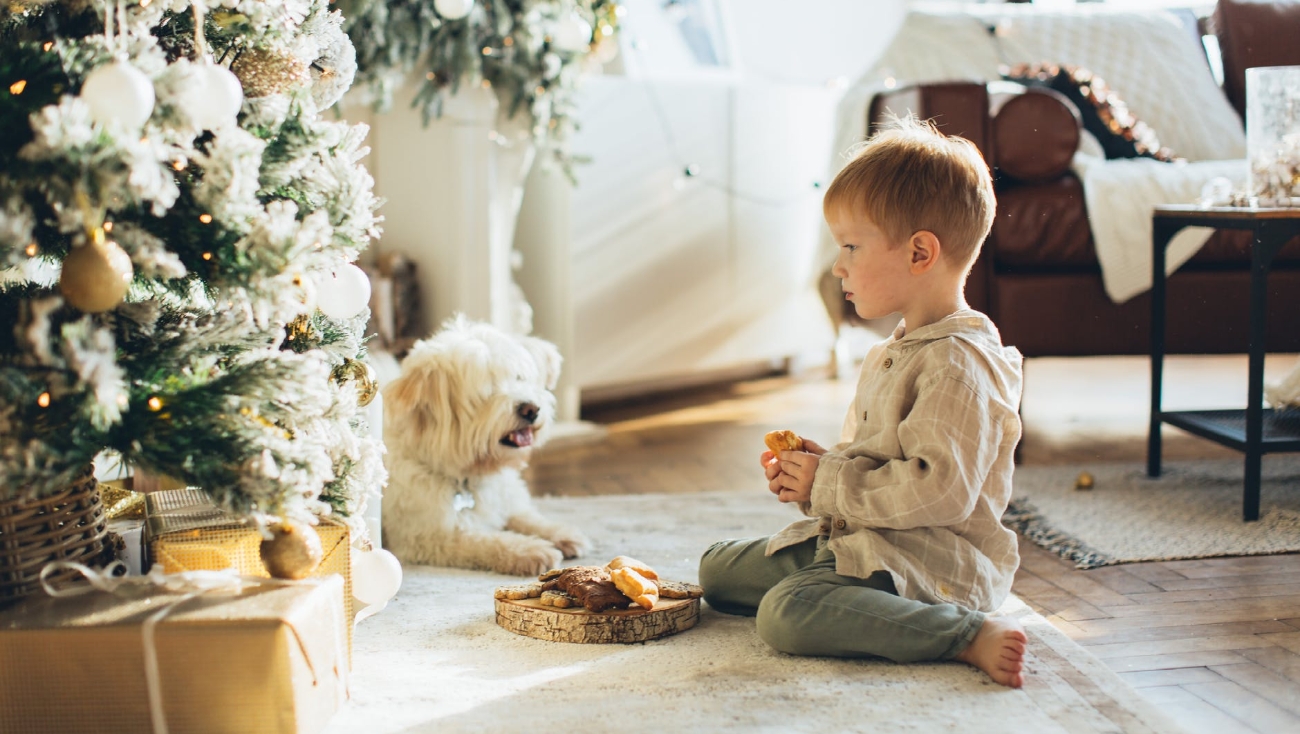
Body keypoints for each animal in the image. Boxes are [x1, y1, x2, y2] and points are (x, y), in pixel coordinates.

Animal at [379, 314, 590, 571]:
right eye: (487, 391)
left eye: (519, 377)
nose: (530, 409)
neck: (470, 475)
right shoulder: (428, 538)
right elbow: (487, 541)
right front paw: (531, 550)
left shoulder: (507, 501)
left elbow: (525, 516)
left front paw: (561, 533)